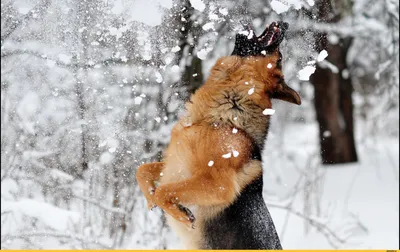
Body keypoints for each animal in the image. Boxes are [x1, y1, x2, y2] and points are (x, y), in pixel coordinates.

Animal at [136, 20, 302, 249]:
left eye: (280, 58)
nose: (285, 23)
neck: (220, 118)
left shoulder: (218, 185)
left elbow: (164, 191)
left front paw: (180, 214)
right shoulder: (174, 164)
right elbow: (142, 171)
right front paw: (150, 198)